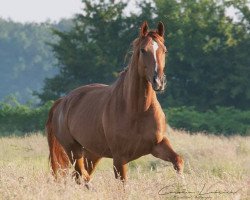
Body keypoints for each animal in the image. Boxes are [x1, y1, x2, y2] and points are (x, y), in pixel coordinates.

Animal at [47, 21, 184, 182]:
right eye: (143, 50)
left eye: (165, 50)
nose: (159, 82)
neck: (137, 110)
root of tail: (62, 102)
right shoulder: (120, 158)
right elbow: (123, 182)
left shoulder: (158, 145)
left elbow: (178, 161)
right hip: (73, 150)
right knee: (82, 176)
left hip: (93, 153)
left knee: (80, 175)